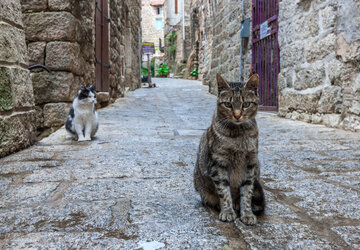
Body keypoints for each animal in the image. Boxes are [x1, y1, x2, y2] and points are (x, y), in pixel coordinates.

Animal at [194, 73, 264, 226]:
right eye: (228, 104)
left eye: (246, 104)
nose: (237, 115)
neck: (238, 136)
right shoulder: (218, 163)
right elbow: (224, 191)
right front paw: (227, 211)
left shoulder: (250, 163)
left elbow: (247, 192)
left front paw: (247, 213)